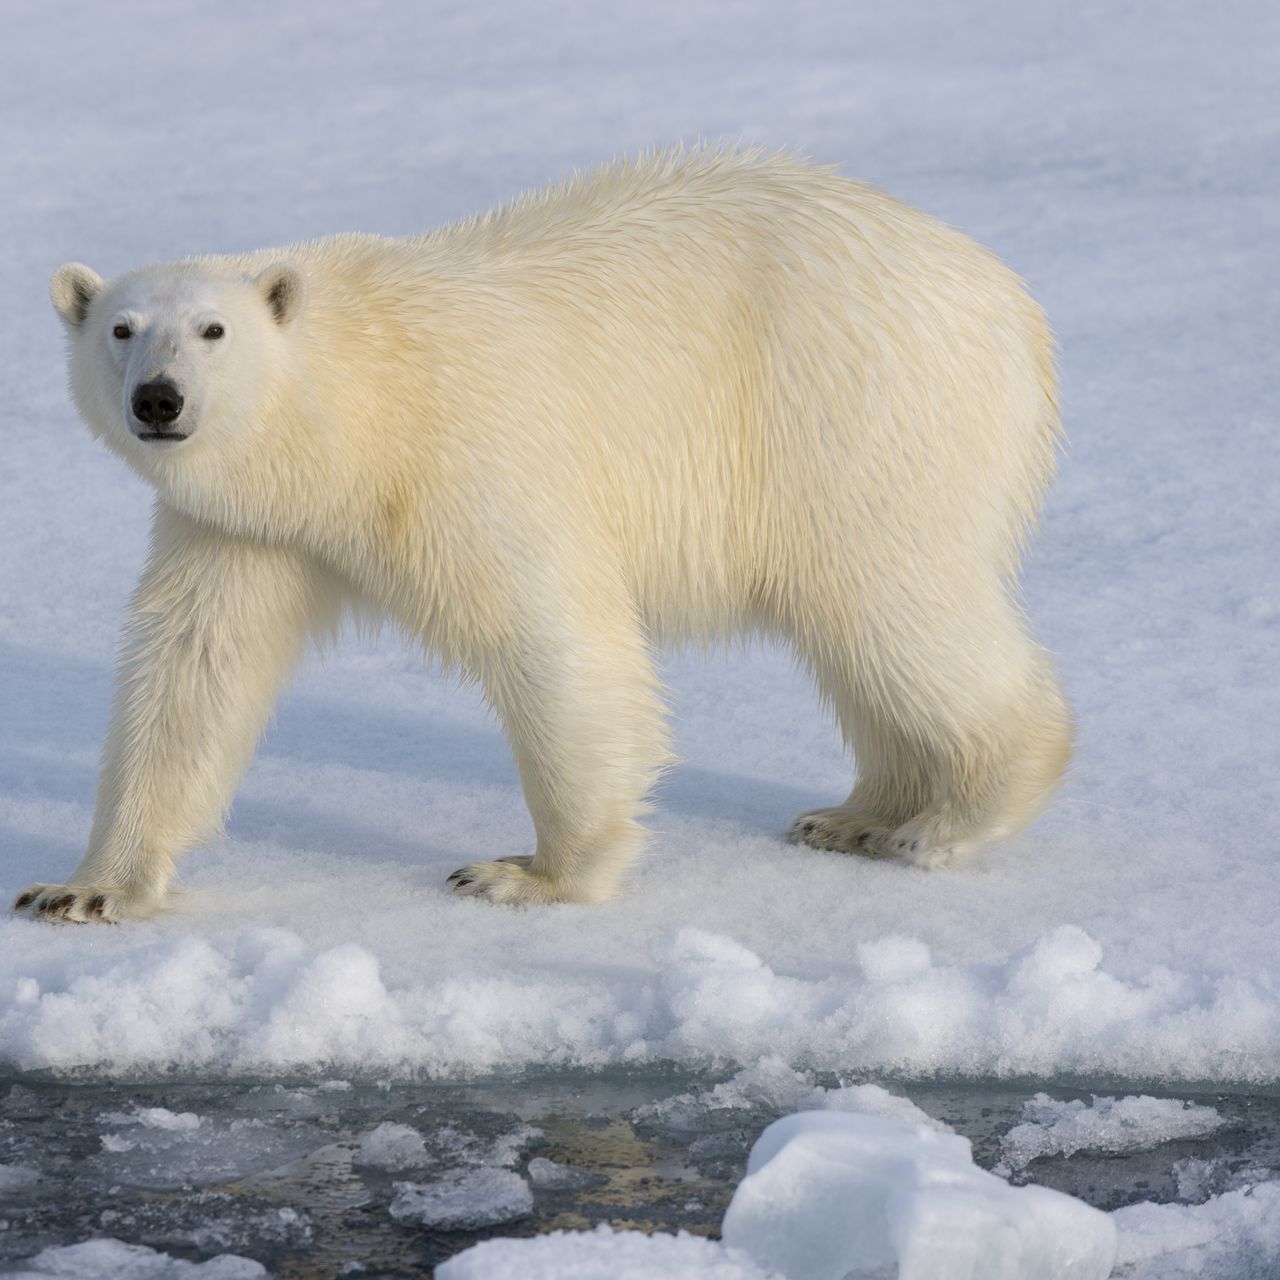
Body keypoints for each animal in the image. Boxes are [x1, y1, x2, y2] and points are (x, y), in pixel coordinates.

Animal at [18, 148, 1071, 924]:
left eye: (213, 329)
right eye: (121, 328)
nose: (160, 401)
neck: (354, 414)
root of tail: (1014, 306)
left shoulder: (464, 460)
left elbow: (555, 641)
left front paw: (527, 873)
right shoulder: (245, 529)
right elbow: (195, 672)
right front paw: (84, 888)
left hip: (854, 412)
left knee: (893, 603)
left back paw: (949, 822)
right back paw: (853, 815)